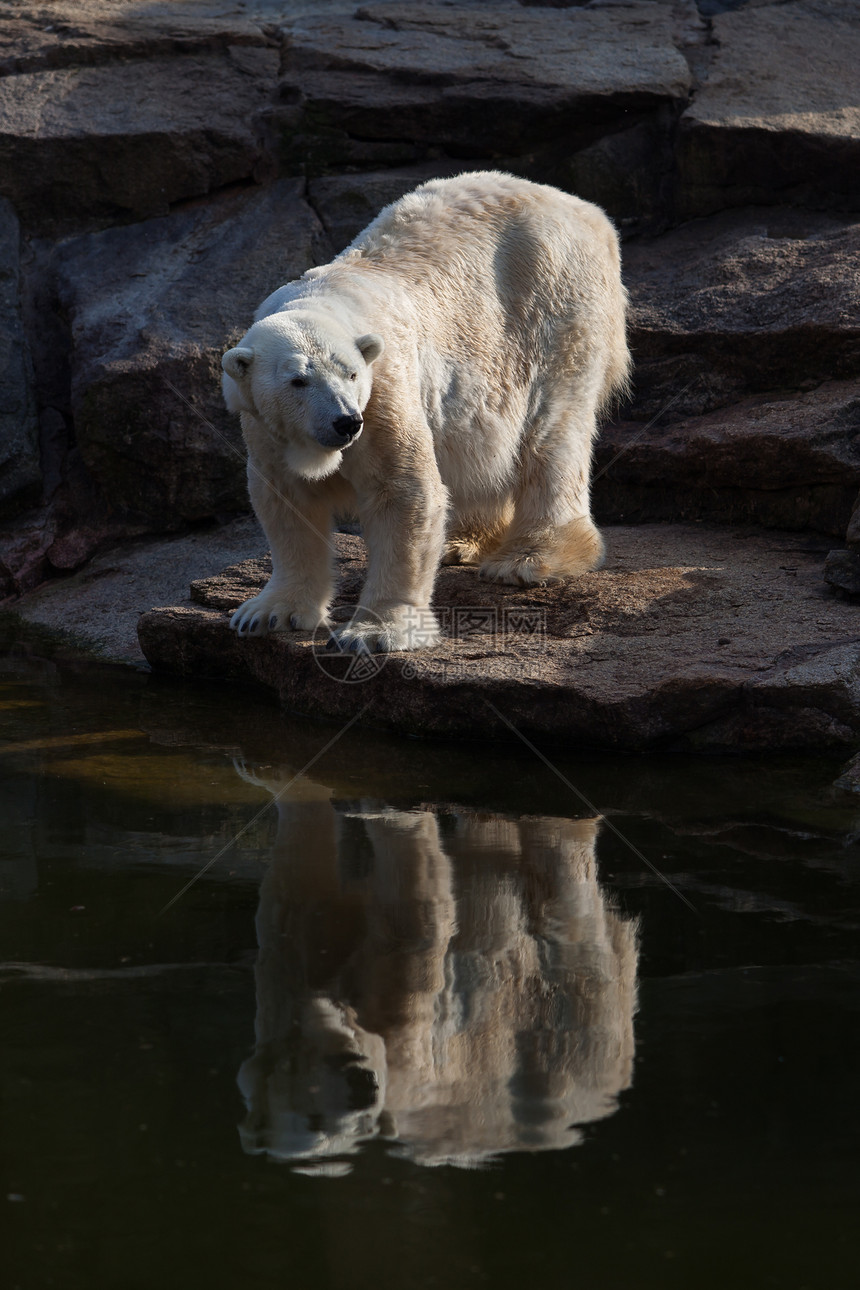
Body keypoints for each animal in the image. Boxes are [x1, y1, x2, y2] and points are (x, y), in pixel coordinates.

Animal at [221, 171, 631, 650]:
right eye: (297, 381)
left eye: (351, 374)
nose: (345, 422)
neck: (318, 298)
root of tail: (588, 212)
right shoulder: (264, 425)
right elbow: (286, 501)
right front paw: (269, 613)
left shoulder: (385, 391)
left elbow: (402, 492)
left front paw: (375, 631)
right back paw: (464, 541)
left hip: (554, 307)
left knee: (552, 430)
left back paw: (530, 558)